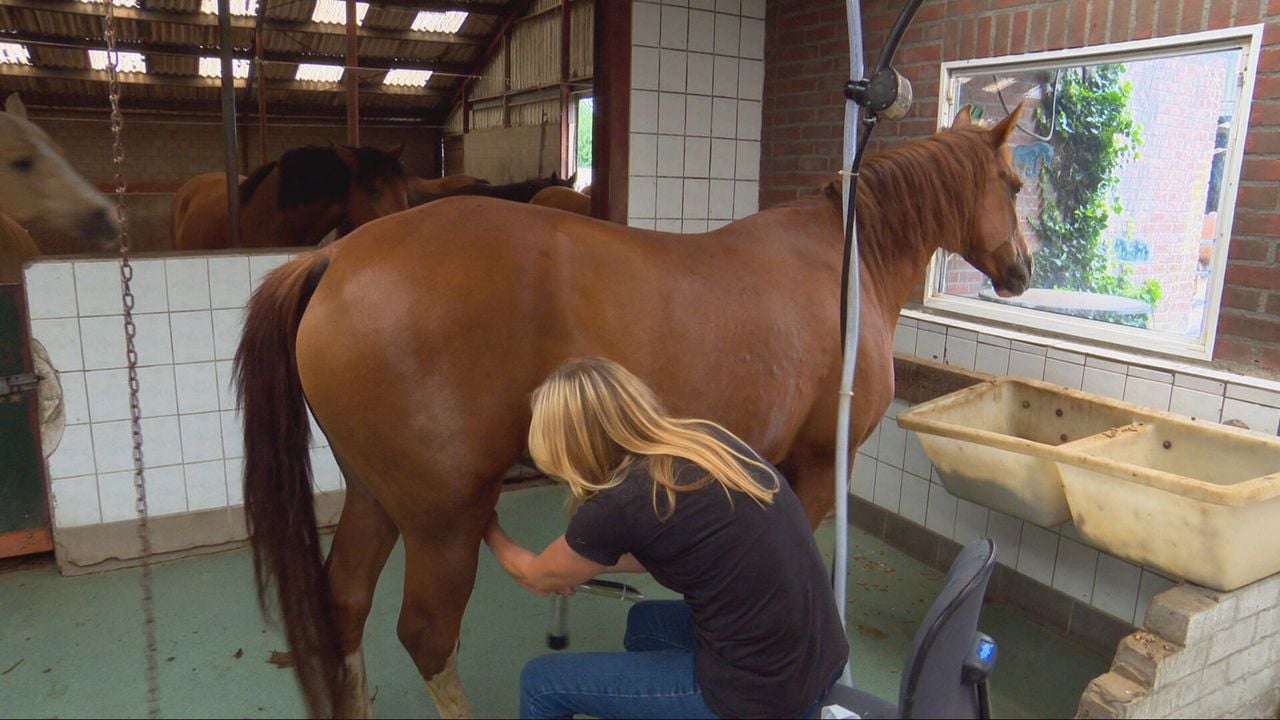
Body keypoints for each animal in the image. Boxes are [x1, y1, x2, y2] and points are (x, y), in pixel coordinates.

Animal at [234, 104, 1031, 719]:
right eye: (1017, 182)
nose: (1022, 268)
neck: (843, 264)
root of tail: (334, 259)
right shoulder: (813, 469)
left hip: (376, 499)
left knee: (345, 608)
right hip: (442, 519)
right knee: (427, 634)